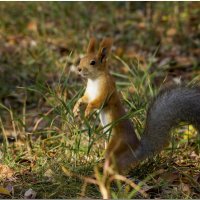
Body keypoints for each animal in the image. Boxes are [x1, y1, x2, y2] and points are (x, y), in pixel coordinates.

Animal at [73, 37, 200, 172]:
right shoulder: (89, 93)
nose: (79, 69)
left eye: (93, 62)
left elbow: (98, 102)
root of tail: (135, 151)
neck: (94, 80)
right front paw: (76, 108)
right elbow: (84, 99)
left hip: (117, 145)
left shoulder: (106, 91)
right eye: (81, 59)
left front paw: (87, 110)